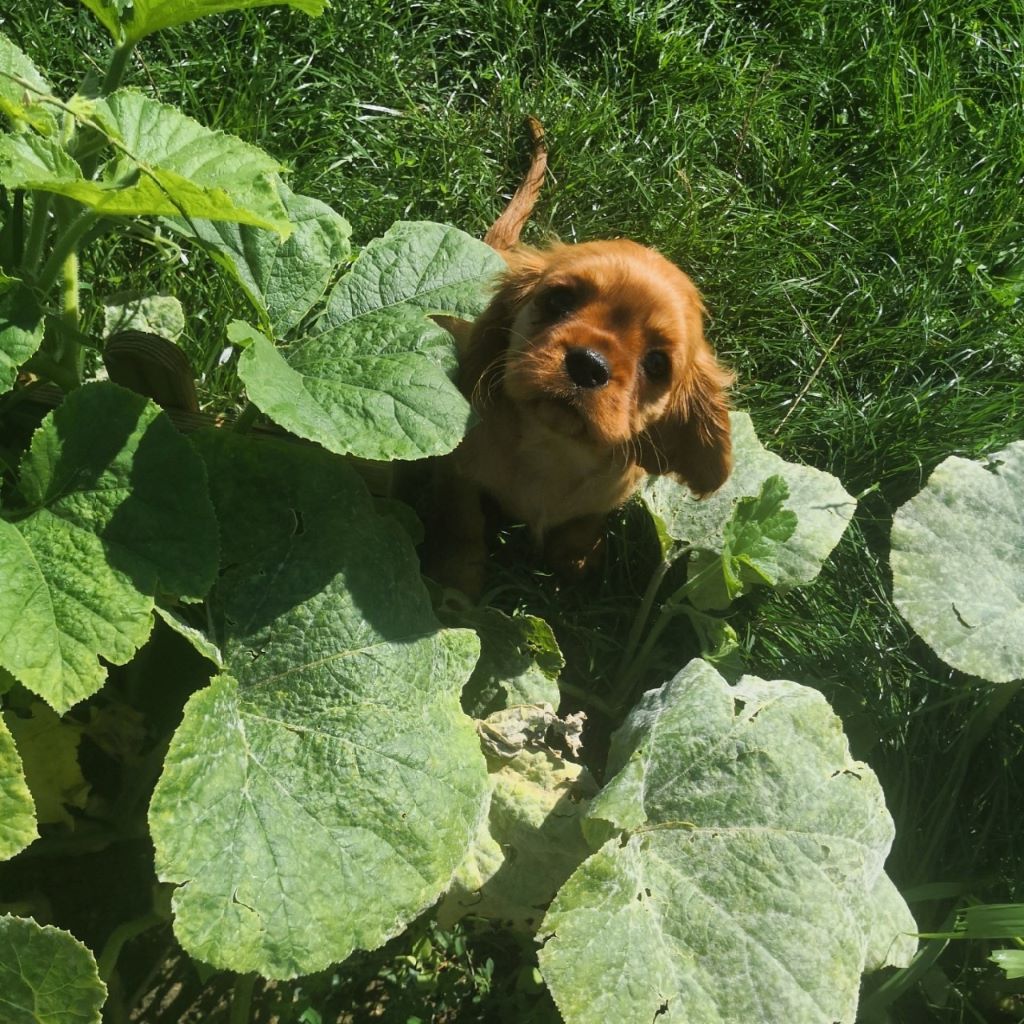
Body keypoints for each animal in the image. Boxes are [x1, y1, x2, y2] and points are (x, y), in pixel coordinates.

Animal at [423, 237, 737, 598]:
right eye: (559, 299)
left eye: (658, 364)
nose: (588, 364)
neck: (554, 448)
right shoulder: (457, 472)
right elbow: (463, 521)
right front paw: (456, 578)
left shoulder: (609, 496)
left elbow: (586, 520)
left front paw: (577, 556)